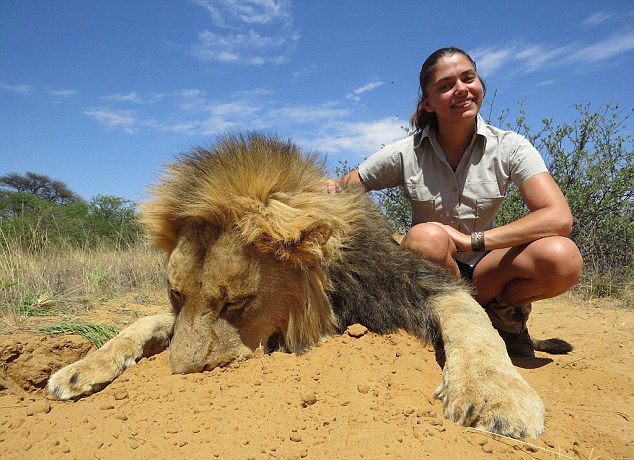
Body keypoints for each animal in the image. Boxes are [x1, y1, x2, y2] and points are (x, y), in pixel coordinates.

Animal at [48, 134, 544, 438]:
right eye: (175, 294)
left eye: (237, 303)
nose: (181, 375)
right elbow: (144, 322)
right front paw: (78, 370)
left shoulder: (406, 281)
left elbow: (468, 316)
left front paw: (493, 395)